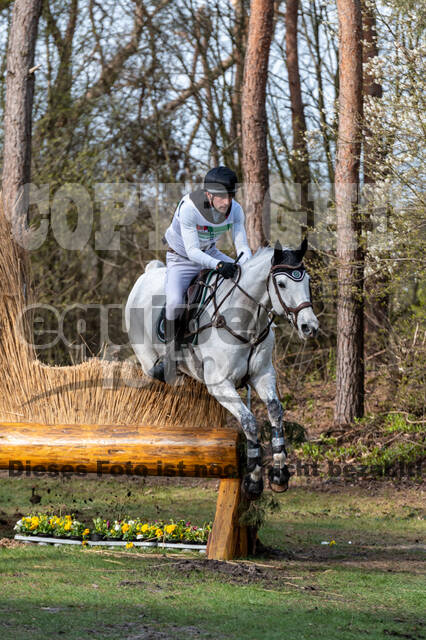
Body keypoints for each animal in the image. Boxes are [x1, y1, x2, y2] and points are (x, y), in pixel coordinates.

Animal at [125, 240, 318, 500]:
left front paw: (279, 474)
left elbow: (275, 411)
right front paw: (254, 481)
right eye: (281, 283)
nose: (310, 327)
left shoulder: (263, 374)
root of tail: (147, 274)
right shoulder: (220, 384)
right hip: (147, 360)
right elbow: (249, 422)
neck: (245, 321)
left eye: (307, 280)